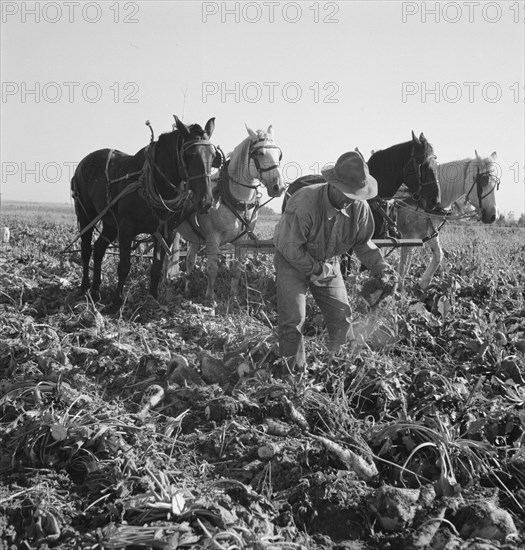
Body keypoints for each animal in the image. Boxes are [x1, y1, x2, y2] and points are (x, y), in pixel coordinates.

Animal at [70, 115, 220, 310]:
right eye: (190, 155)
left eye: (213, 156)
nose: (206, 201)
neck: (159, 185)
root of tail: (84, 162)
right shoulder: (126, 228)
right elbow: (124, 266)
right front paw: (117, 302)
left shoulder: (166, 232)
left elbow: (156, 267)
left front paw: (153, 299)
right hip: (86, 214)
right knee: (86, 249)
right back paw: (85, 287)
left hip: (110, 222)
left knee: (99, 249)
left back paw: (96, 291)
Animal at [170, 126, 284, 302]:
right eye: (260, 153)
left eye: (279, 154)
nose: (279, 186)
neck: (236, 200)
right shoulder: (213, 238)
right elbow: (212, 268)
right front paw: (210, 297)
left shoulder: (242, 241)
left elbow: (237, 269)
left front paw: (234, 297)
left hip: (195, 238)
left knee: (190, 260)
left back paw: (188, 288)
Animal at [396, 151, 498, 288]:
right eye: (483, 181)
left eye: (496, 184)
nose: (493, 216)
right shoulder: (408, 236)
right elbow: (403, 266)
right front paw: (397, 290)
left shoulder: (429, 233)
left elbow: (438, 255)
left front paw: (423, 283)